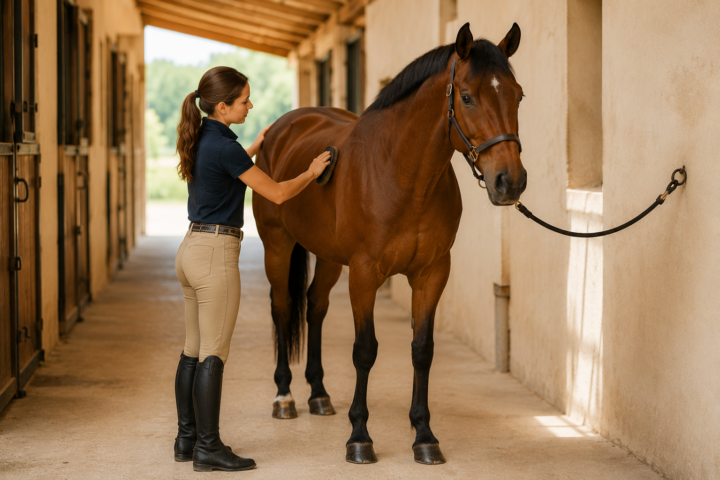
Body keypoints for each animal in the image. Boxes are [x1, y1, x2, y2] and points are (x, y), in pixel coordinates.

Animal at [252, 23, 526, 465]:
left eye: (518, 95)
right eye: (467, 97)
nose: (510, 182)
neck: (402, 175)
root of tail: (281, 129)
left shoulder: (432, 273)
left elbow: (422, 349)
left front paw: (424, 436)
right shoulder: (365, 274)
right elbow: (365, 350)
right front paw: (359, 437)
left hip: (330, 258)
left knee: (315, 306)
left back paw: (319, 394)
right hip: (277, 245)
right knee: (281, 308)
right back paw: (284, 397)